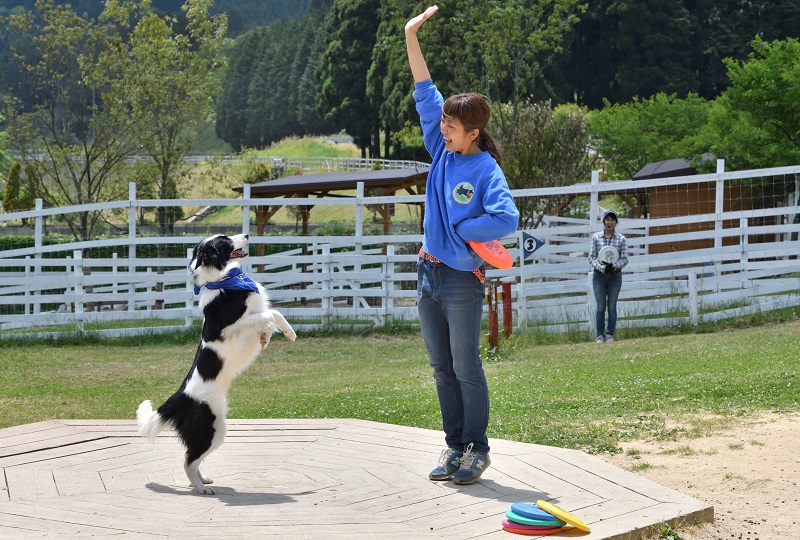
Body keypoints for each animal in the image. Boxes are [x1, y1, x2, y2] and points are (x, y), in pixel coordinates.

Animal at [136, 232, 296, 494]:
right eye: (225, 241)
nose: (247, 234)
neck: (225, 280)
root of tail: (180, 396)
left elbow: (275, 312)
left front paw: (283, 334)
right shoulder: (229, 329)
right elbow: (266, 315)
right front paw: (267, 334)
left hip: (214, 430)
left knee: (192, 457)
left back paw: (203, 481)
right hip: (211, 428)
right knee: (188, 460)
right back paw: (200, 489)